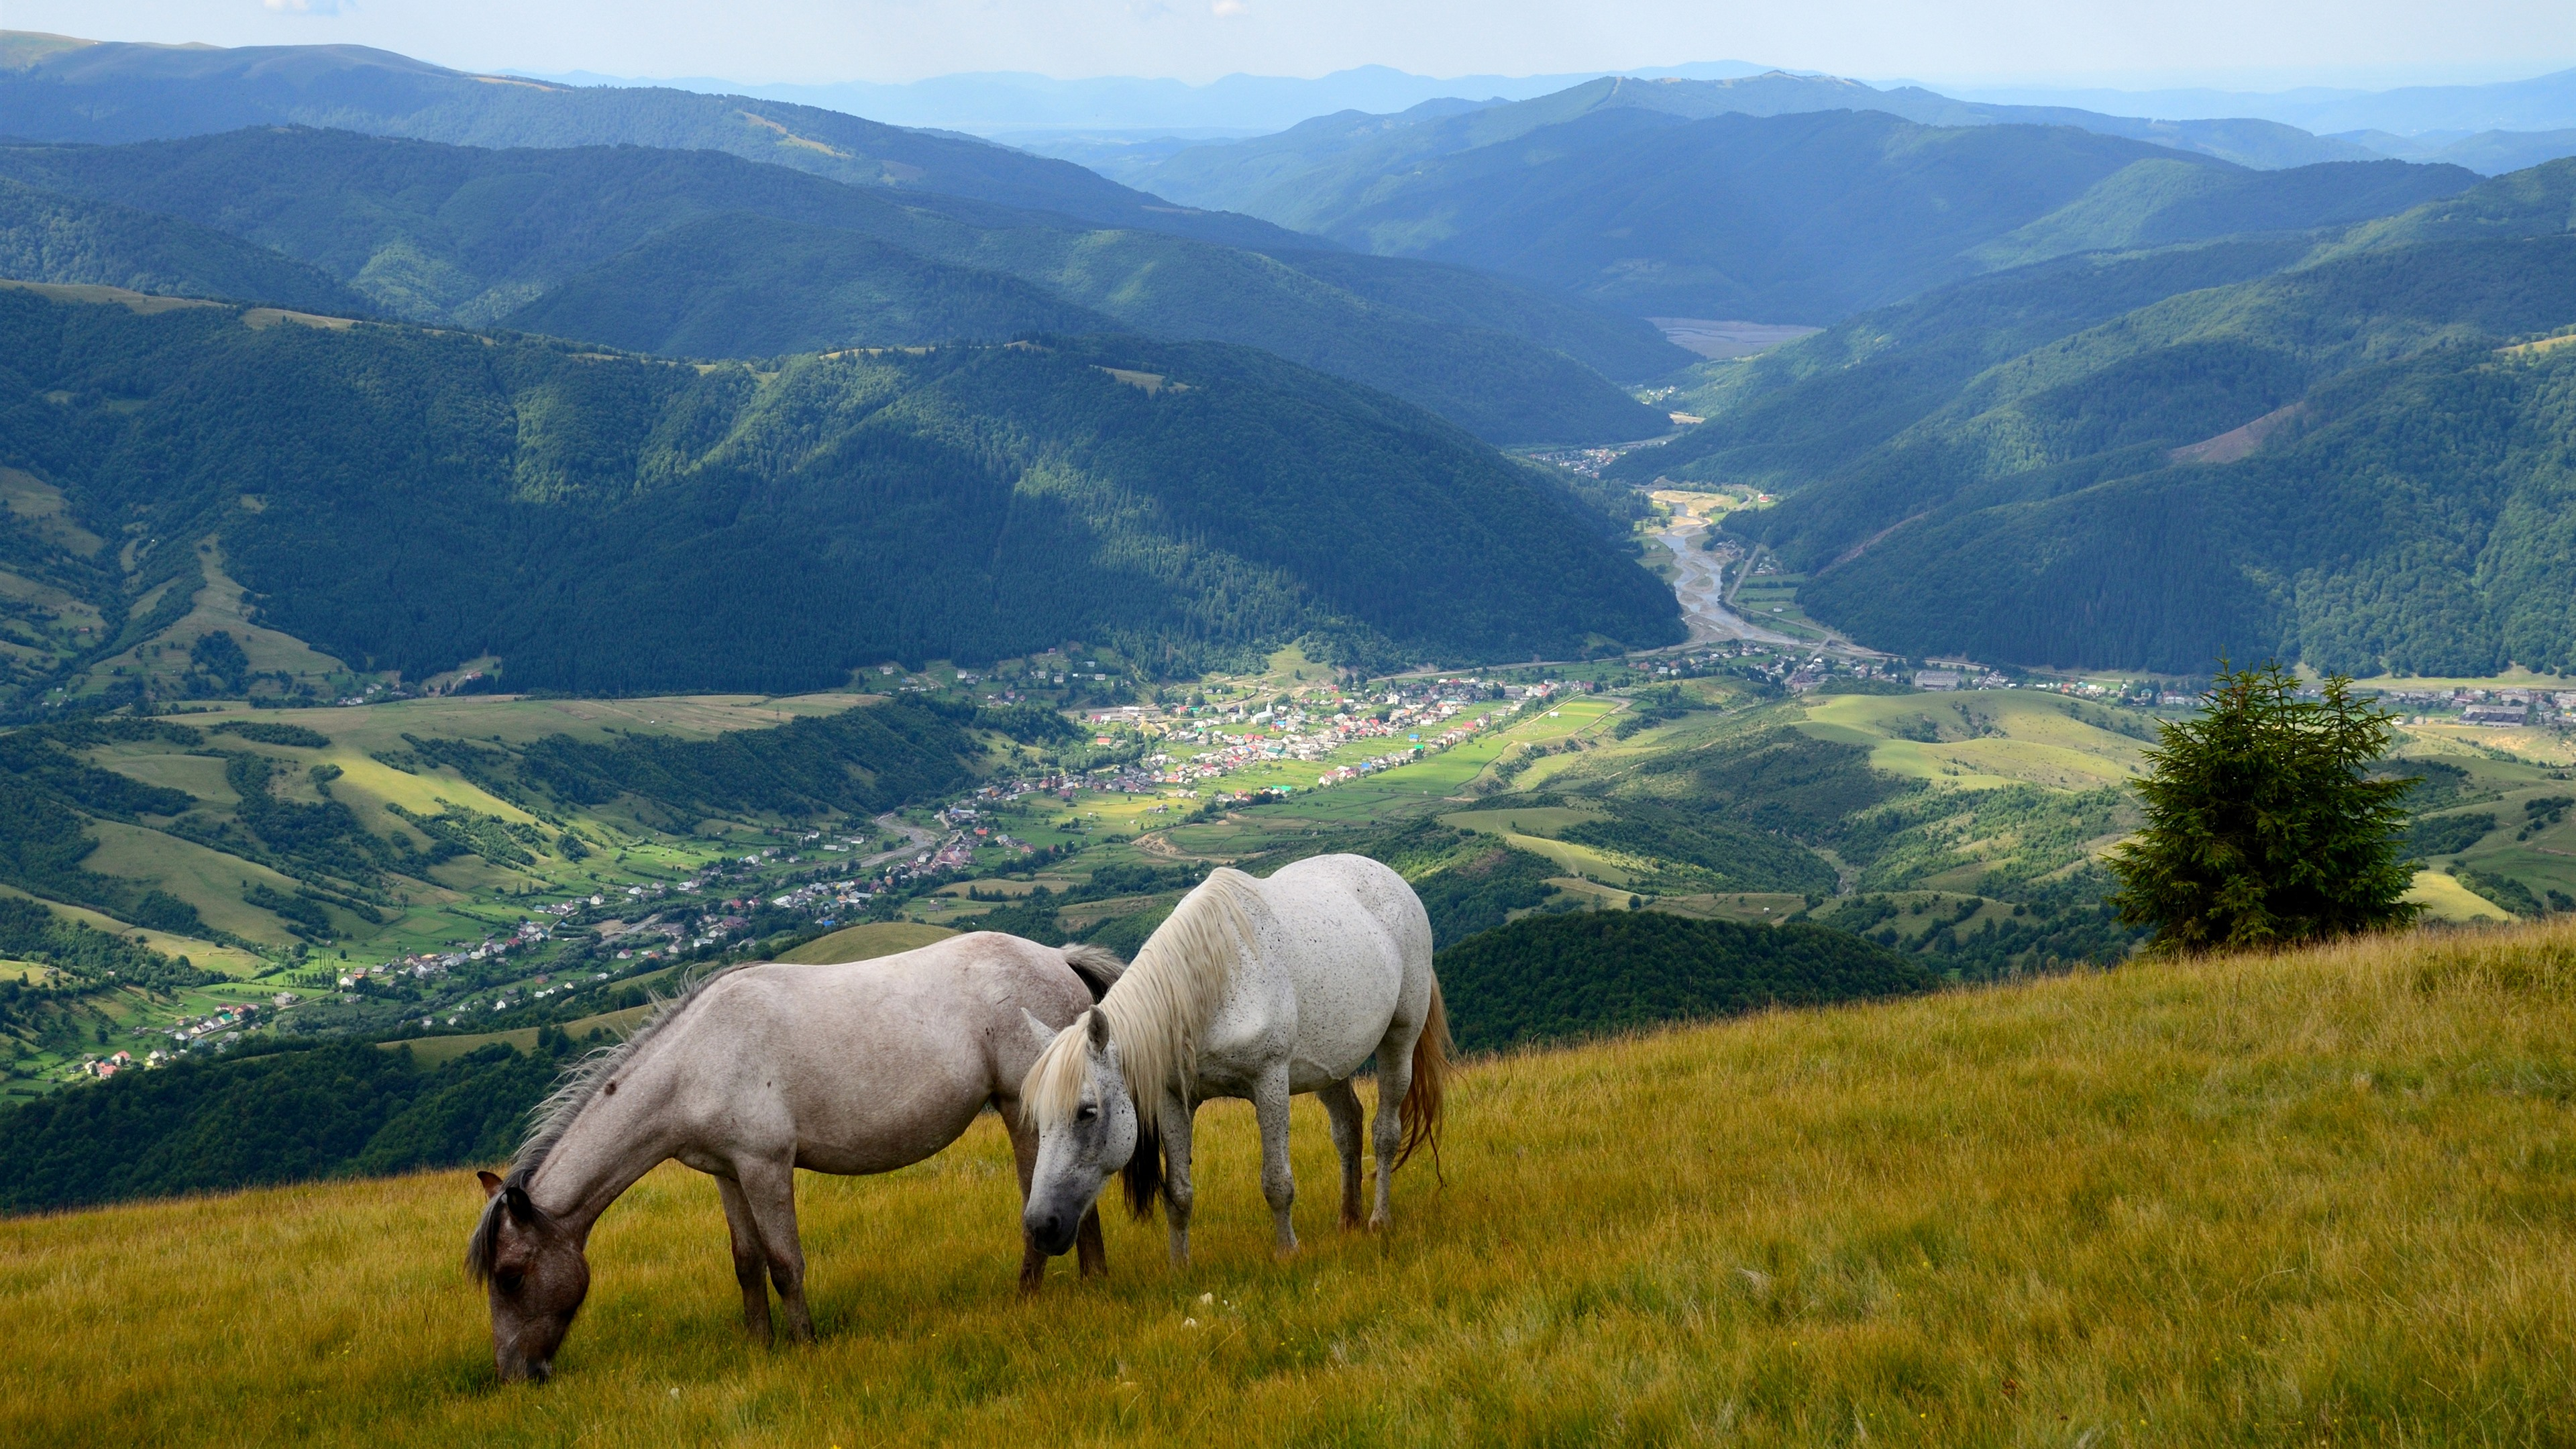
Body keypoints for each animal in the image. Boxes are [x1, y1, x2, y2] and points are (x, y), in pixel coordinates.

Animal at [463, 933, 1124, 1383]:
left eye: (510, 1275)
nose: (515, 1376)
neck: (696, 1061)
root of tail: (1057, 956)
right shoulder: (728, 1174)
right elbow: (746, 1263)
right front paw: (760, 1347)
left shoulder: (766, 1167)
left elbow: (784, 1263)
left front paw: (803, 1345)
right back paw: (1093, 1283)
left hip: (1022, 1110)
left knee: (1039, 1200)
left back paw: (1030, 1296)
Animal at [1020, 854, 1450, 1267]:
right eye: (1038, 1120)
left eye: (1087, 1112)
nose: (1041, 1227)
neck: (1213, 983)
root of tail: (1392, 879)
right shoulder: (1174, 1101)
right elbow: (1178, 1194)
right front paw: (1180, 1267)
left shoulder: (1270, 1083)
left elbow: (1277, 1183)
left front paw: (1287, 1253)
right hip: (1330, 1065)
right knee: (1348, 1128)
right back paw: (1349, 1220)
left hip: (1399, 1041)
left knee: (1385, 1132)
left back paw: (1379, 1220)